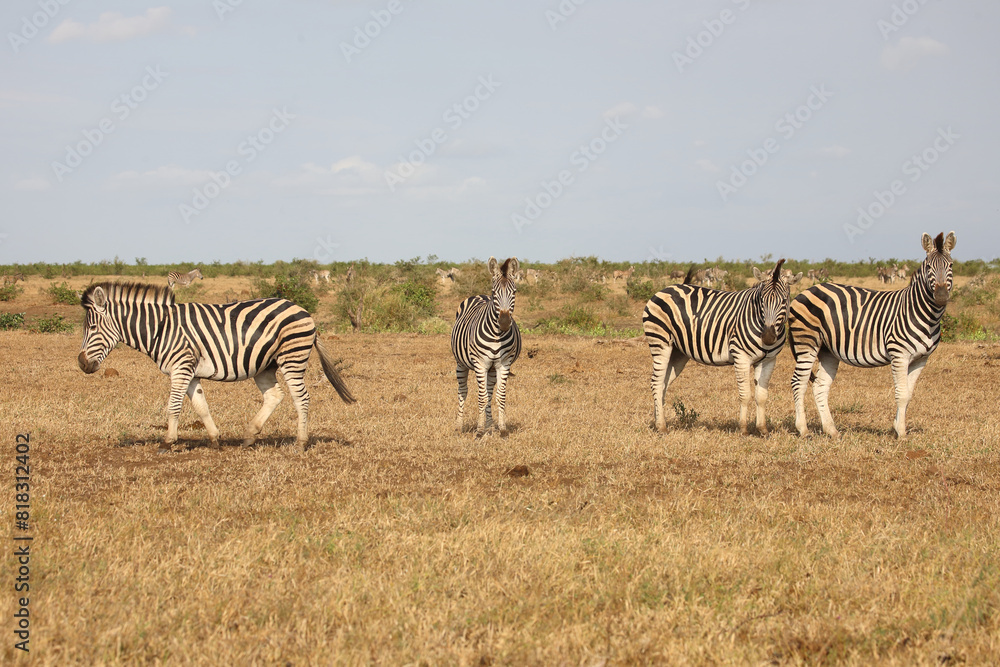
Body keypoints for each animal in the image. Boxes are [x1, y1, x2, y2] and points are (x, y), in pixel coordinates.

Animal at [78, 282, 356, 452]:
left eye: (92, 327)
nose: (81, 363)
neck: (162, 328)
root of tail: (304, 311)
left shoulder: (180, 368)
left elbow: (173, 406)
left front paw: (167, 442)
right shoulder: (190, 372)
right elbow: (201, 407)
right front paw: (215, 439)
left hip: (292, 357)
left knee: (302, 398)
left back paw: (300, 442)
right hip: (265, 365)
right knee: (274, 396)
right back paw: (249, 436)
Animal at [450, 257, 522, 437]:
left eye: (514, 292)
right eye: (494, 293)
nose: (504, 323)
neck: (497, 335)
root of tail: (478, 295)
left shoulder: (504, 364)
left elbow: (499, 396)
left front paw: (502, 429)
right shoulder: (480, 363)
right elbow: (481, 397)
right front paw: (479, 430)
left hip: (492, 369)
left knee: (489, 393)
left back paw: (490, 426)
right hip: (461, 364)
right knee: (463, 391)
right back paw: (459, 426)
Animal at [642, 259, 802, 434]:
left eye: (784, 301)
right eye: (762, 301)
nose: (767, 337)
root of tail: (667, 288)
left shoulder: (769, 360)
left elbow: (762, 396)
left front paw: (762, 429)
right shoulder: (741, 356)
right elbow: (745, 394)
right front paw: (743, 429)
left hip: (678, 352)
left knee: (664, 384)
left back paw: (659, 421)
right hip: (660, 341)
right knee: (656, 382)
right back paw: (661, 427)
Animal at [789, 231, 956, 439]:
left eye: (951, 266)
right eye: (928, 267)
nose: (941, 297)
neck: (924, 314)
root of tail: (809, 289)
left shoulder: (921, 359)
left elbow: (908, 394)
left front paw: (896, 426)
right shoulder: (899, 354)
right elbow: (901, 394)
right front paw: (901, 433)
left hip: (828, 350)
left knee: (820, 386)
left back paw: (831, 430)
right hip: (807, 342)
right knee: (799, 382)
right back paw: (803, 429)